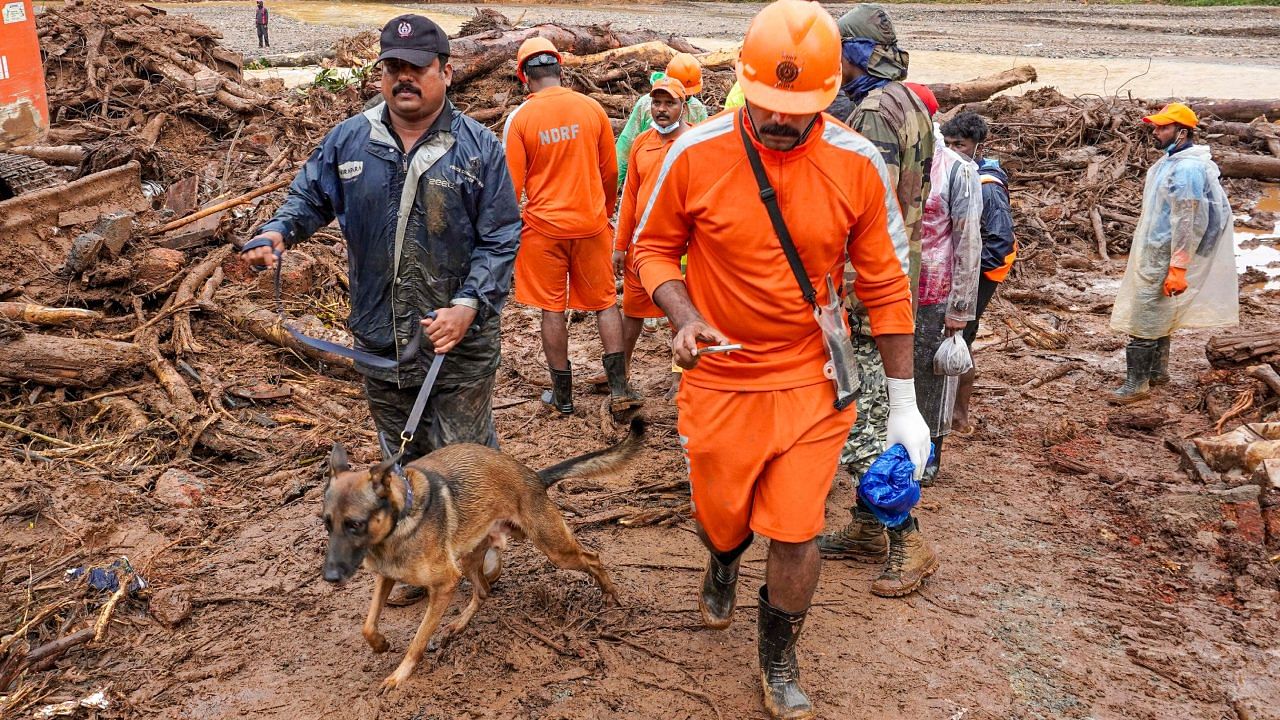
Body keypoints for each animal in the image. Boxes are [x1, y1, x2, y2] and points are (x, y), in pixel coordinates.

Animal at [320, 415, 640, 691]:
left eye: (355, 524)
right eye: (326, 523)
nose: (329, 577)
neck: (400, 521)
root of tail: (533, 476)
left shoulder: (445, 583)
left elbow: (418, 639)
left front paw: (399, 675)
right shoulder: (385, 576)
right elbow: (367, 625)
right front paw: (380, 644)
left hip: (555, 549)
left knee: (592, 558)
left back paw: (610, 595)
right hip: (469, 557)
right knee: (484, 590)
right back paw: (458, 624)